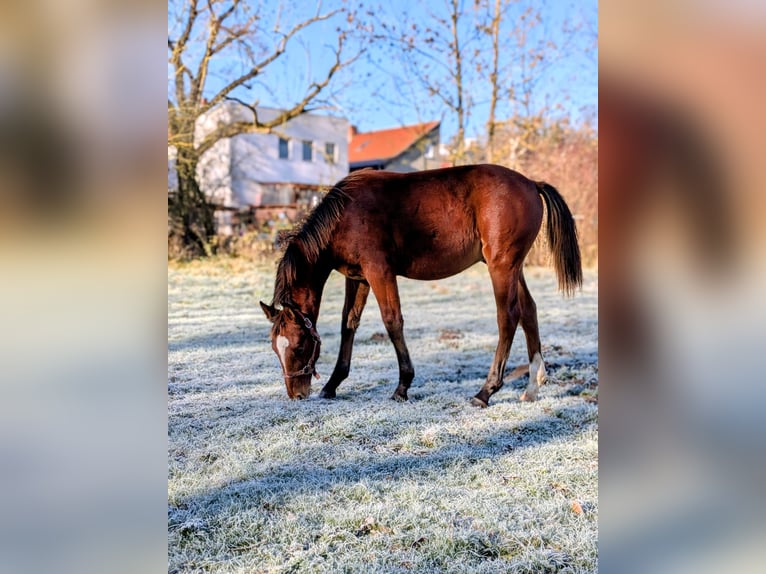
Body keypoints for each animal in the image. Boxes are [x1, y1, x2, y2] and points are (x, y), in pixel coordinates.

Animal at [260, 164, 582, 407]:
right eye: (275, 348)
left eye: (299, 346)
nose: (296, 394)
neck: (345, 215)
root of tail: (530, 183)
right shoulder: (358, 277)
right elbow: (348, 323)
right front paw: (333, 384)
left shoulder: (380, 272)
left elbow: (392, 321)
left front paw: (403, 386)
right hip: (513, 268)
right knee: (529, 311)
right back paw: (532, 386)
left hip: (501, 267)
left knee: (508, 316)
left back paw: (486, 390)